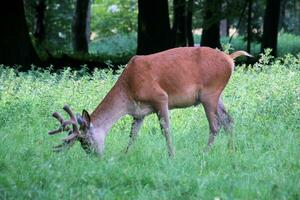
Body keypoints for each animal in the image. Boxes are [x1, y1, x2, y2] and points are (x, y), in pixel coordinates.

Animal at [48, 46, 251, 156]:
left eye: (85, 142)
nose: (94, 157)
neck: (128, 90)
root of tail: (230, 59)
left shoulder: (160, 97)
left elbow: (166, 130)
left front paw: (171, 156)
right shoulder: (139, 113)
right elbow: (133, 135)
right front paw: (124, 155)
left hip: (209, 93)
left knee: (216, 125)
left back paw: (204, 153)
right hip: (217, 95)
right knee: (229, 120)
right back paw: (232, 150)